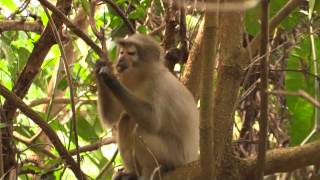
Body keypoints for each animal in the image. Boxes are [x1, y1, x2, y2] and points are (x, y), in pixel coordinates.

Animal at [94, 34, 200, 180]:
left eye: (131, 53)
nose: (121, 59)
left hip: (175, 156)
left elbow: (152, 122)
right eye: (122, 52)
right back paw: (132, 173)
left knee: (140, 130)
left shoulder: (158, 84)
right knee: (125, 121)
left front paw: (110, 78)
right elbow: (111, 117)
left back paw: (154, 171)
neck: (143, 77)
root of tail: (190, 159)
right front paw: (99, 69)